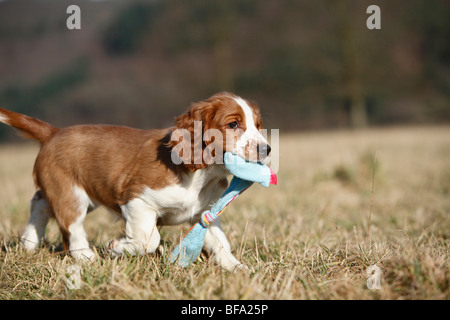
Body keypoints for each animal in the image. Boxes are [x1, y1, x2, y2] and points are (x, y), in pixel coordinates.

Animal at [0, 92, 270, 270]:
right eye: (233, 124)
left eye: (258, 125)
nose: (266, 149)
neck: (201, 176)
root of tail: (54, 132)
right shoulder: (138, 199)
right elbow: (150, 240)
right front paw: (117, 247)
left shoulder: (204, 212)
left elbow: (220, 241)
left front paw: (238, 268)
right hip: (72, 193)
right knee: (71, 225)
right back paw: (86, 256)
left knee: (40, 201)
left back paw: (29, 242)